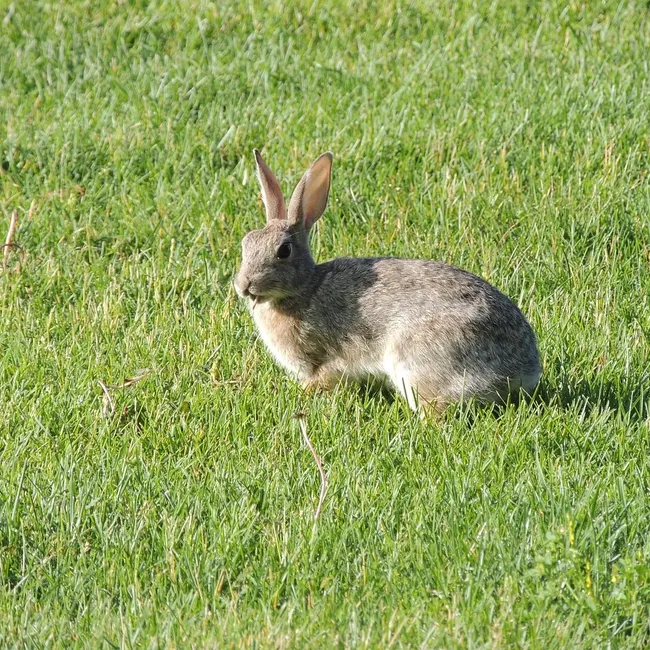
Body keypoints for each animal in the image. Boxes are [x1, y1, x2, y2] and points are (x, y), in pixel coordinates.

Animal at [234, 149, 542, 414]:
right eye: (246, 243)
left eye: (283, 251)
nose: (243, 286)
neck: (305, 287)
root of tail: (525, 371)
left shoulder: (323, 358)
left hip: (415, 361)